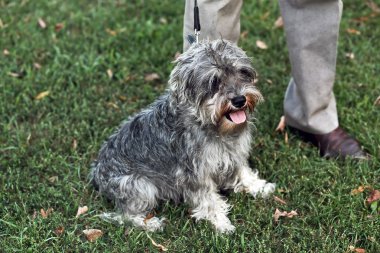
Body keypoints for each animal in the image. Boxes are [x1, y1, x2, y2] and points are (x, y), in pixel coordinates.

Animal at [92, 39, 276, 233]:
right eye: (214, 81)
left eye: (242, 72)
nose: (239, 100)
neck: (214, 127)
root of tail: (96, 173)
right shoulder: (194, 174)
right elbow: (208, 200)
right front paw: (221, 222)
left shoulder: (234, 154)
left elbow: (243, 172)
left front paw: (259, 187)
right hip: (141, 187)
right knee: (123, 216)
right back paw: (150, 223)